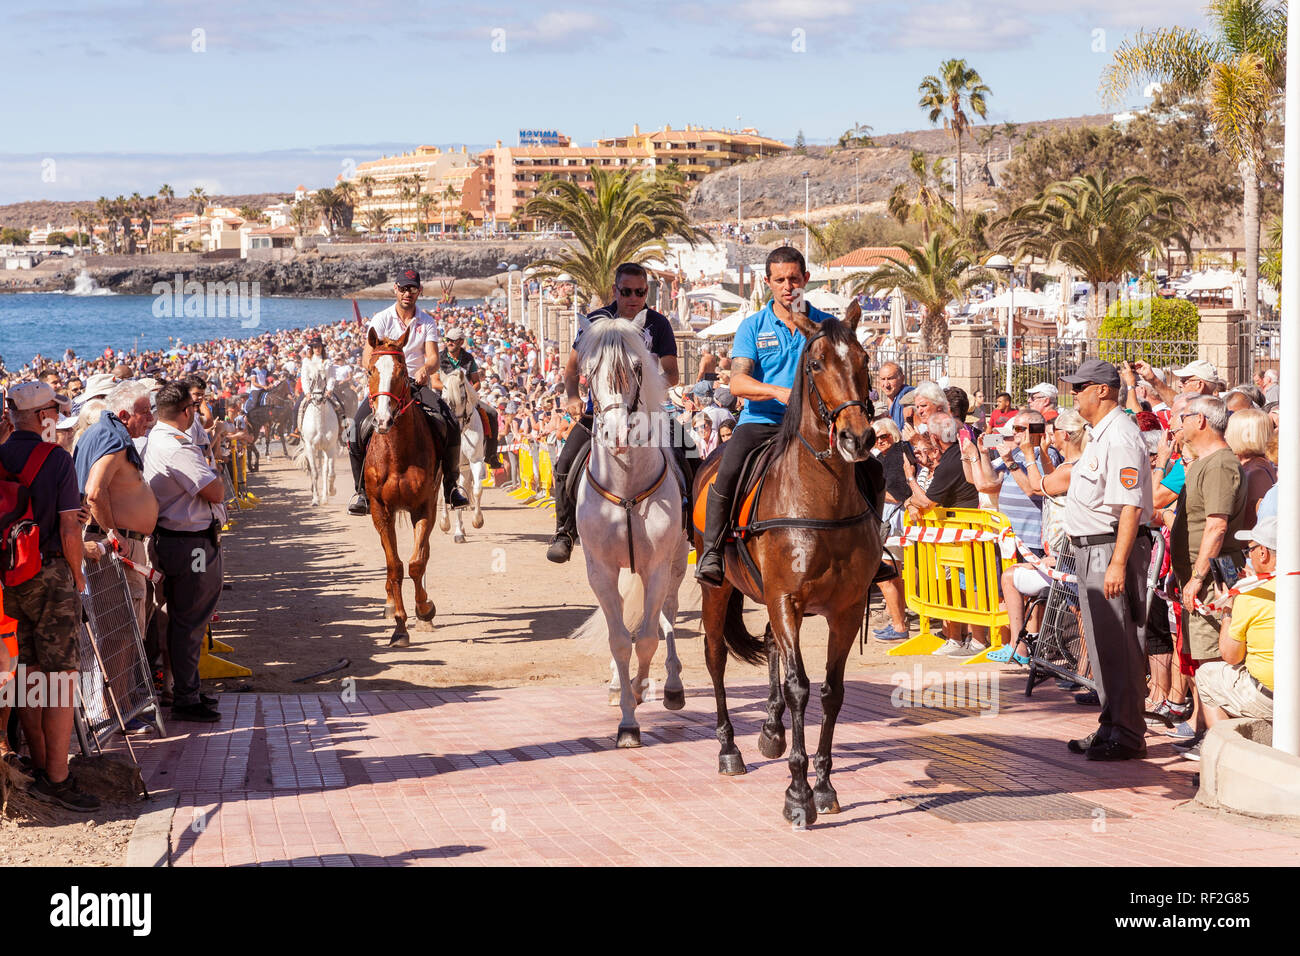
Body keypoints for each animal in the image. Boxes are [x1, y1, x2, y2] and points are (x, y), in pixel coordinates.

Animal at [438, 367, 487, 542]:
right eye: (444, 399)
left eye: (463, 398)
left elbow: (477, 489)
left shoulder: (475, 461)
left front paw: (477, 521)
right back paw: (448, 525)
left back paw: (461, 531)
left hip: (464, 469)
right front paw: (446, 524)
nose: (454, 426)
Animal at [570, 312, 688, 748]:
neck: (625, 488)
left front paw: (639, 693)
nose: (618, 434)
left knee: (668, 615)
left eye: (638, 367)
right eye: (588, 371)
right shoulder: (600, 569)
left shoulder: (656, 566)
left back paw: (671, 685)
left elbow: (649, 636)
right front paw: (626, 719)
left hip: (675, 563)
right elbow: (620, 638)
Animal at [691, 304, 882, 825]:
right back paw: (729, 748)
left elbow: (833, 692)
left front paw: (824, 784)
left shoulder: (845, 609)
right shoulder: (785, 599)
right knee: (716, 657)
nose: (858, 437)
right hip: (718, 589)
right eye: (814, 365)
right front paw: (798, 793)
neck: (822, 500)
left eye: (864, 359)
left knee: (772, 646)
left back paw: (771, 729)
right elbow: (800, 687)